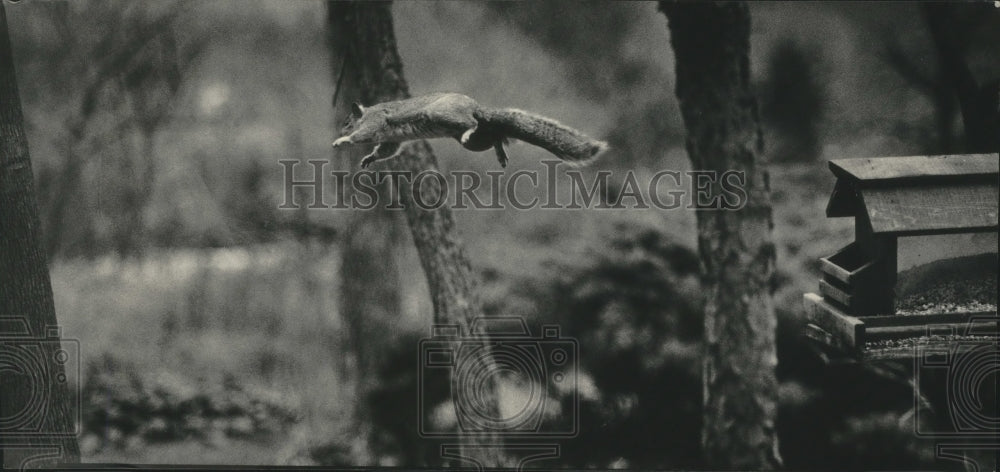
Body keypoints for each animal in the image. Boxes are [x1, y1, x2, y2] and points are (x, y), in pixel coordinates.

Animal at [332, 93, 608, 169]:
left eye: (347, 121)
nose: (340, 128)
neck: (367, 113)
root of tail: (475, 107)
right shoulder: (389, 139)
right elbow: (386, 150)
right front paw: (369, 159)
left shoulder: (375, 123)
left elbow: (362, 136)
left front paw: (342, 141)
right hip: (477, 142)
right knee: (492, 137)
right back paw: (500, 151)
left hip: (442, 113)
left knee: (471, 125)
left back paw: (473, 130)